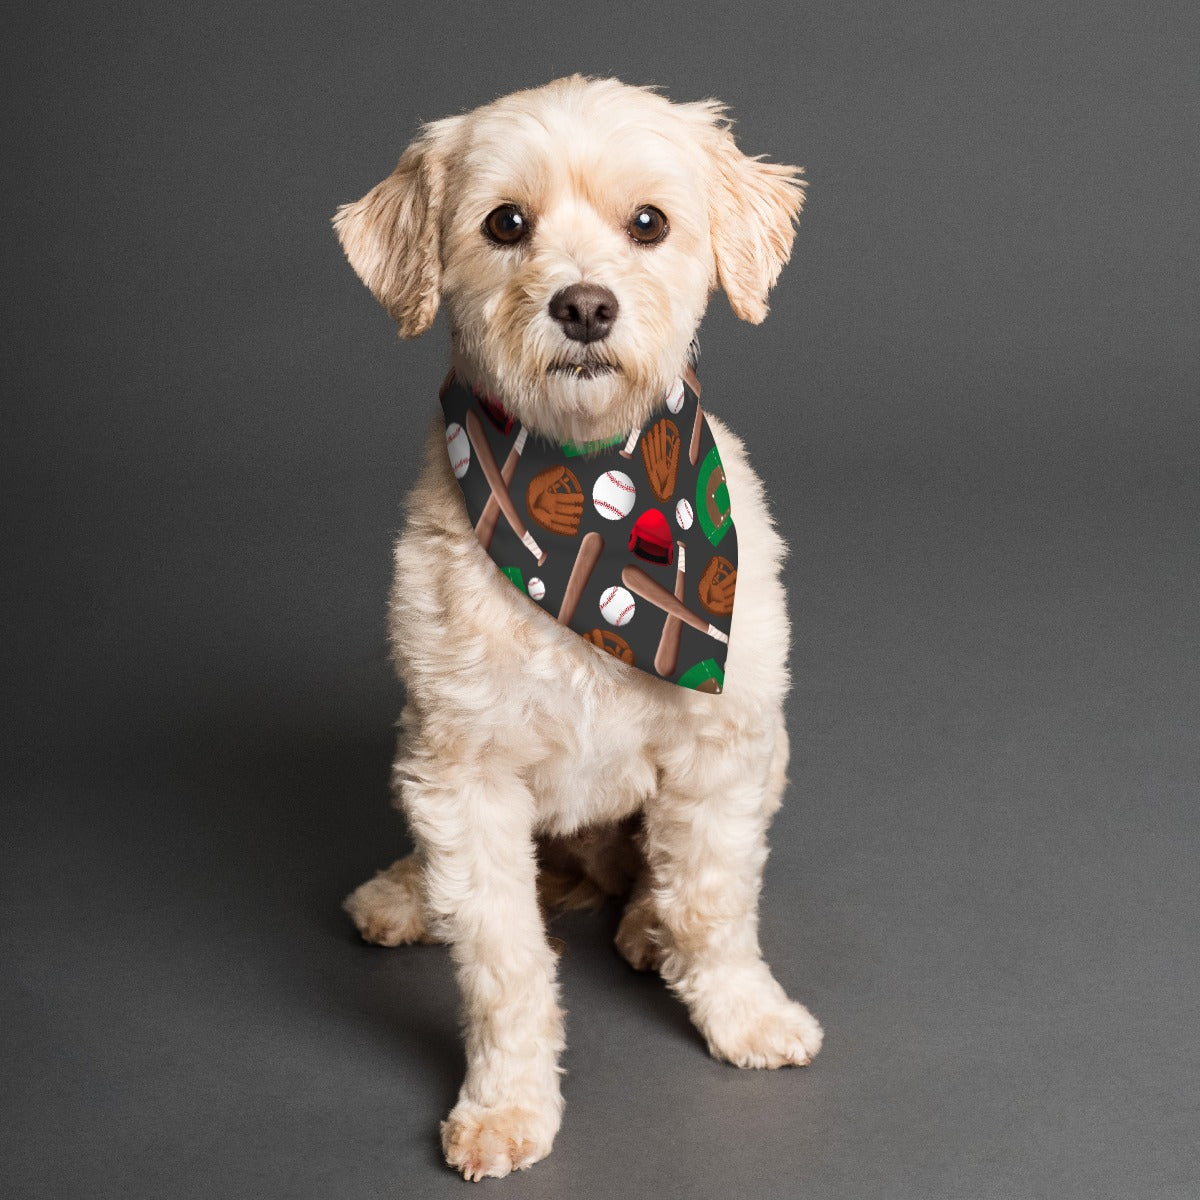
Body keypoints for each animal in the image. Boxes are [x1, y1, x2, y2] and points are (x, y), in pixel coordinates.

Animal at [333, 77, 820, 1180]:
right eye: (505, 224)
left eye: (650, 223)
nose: (586, 306)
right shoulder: (462, 772)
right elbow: (501, 960)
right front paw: (507, 1102)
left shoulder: (725, 748)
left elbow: (712, 900)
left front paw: (741, 1011)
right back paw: (405, 895)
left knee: (657, 880)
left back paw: (643, 926)